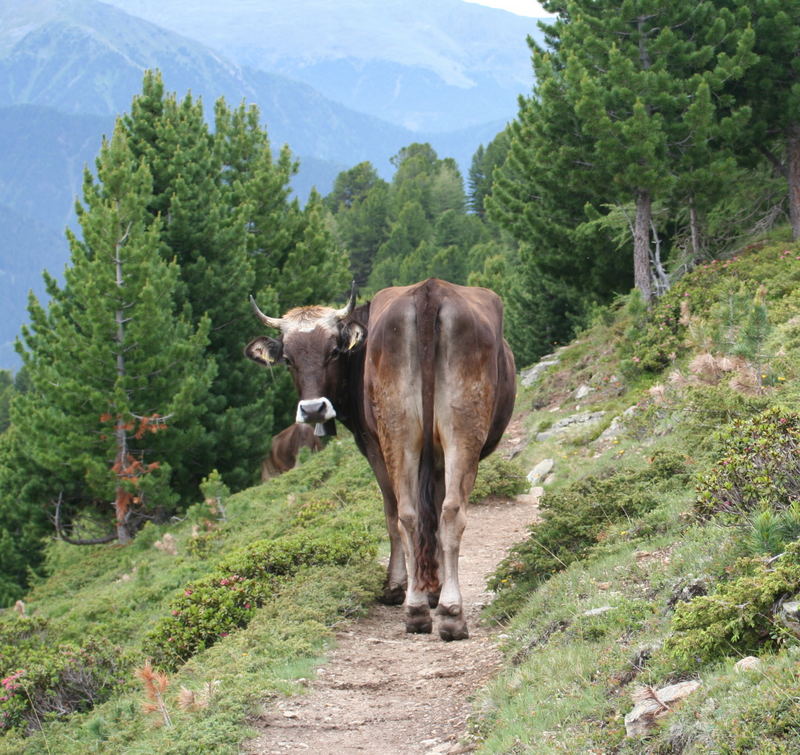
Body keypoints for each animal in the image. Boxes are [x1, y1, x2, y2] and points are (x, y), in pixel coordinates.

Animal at [244, 280, 516, 640]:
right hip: (440, 432)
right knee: (430, 512)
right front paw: (427, 588)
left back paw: (430, 611)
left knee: (412, 513)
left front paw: (412, 587)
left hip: (409, 434)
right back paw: (434, 611)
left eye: (333, 351)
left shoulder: (374, 445)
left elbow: (403, 512)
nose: (313, 409)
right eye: (288, 359)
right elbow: (426, 512)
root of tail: (429, 291)